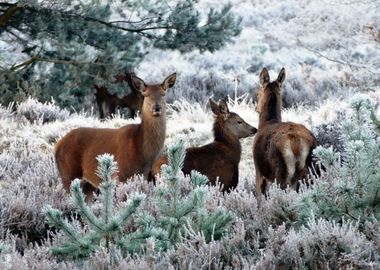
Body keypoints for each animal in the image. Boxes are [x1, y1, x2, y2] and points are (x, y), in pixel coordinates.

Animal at [252, 67, 318, 196]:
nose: (256, 108)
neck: (267, 122)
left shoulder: (259, 171)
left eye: (258, 93)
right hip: (310, 172)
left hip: (281, 172)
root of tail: (296, 143)